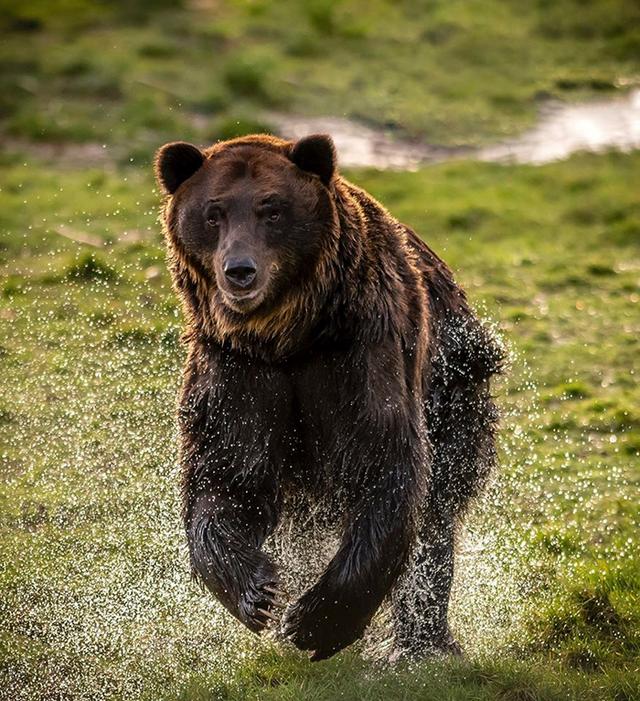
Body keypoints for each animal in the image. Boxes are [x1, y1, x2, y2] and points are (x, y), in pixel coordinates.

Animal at [156, 133, 504, 660]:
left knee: (437, 519)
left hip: (459, 386)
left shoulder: (362, 351)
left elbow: (387, 466)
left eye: (272, 209)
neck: (288, 337)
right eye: (213, 213)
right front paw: (259, 593)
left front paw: (315, 621)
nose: (239, 271)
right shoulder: (237, 368)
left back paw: (421, 643)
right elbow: (226, 476)